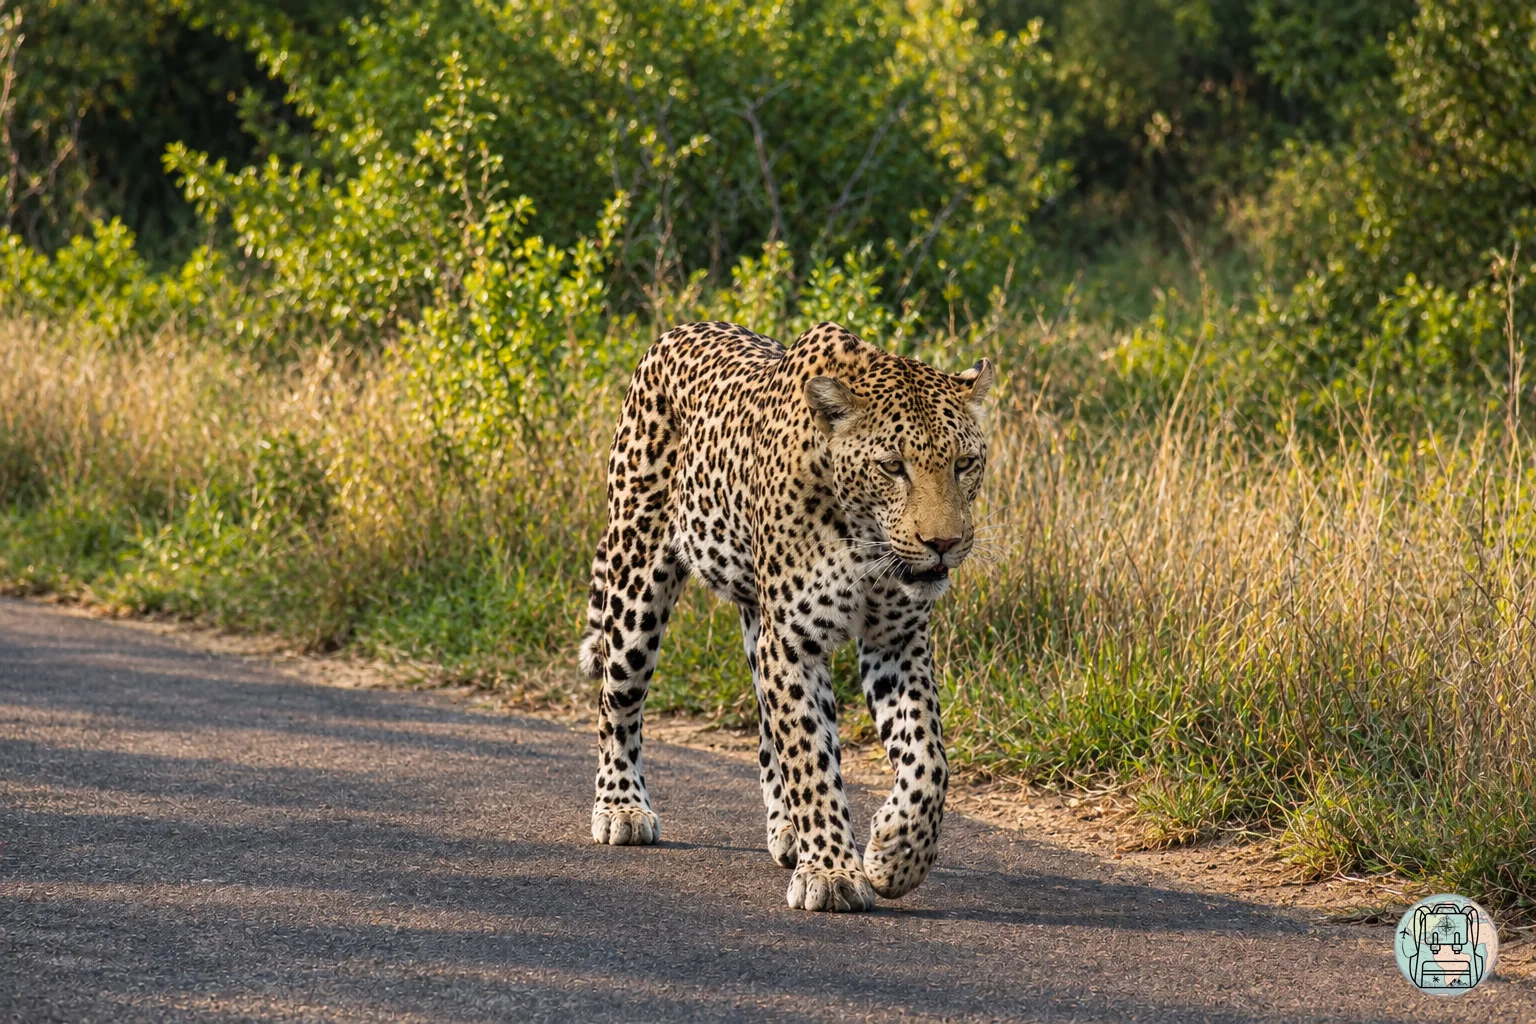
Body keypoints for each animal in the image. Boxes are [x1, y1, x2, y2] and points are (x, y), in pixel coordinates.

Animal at [578, 319, 994, 912]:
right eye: (893, 467)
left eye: (963, 464)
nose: (945, 544)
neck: (862, 537)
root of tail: (675, 331)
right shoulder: (794, 643)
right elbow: (810, 759)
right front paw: (833, 873)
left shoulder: (897, 641)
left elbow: (928, 758)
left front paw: (894, 854)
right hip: (636, 583)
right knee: (618, 699)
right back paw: (621, 807)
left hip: (757, 622)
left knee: (766, 726)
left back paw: (791, 832)